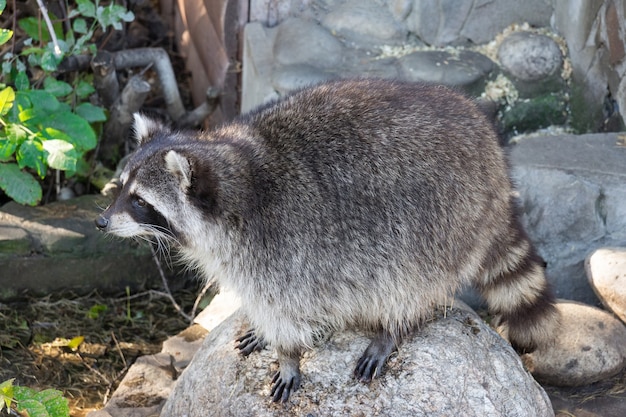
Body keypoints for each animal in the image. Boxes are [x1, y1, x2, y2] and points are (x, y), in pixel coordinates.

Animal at [96, 77, 556, 400]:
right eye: (121, 187)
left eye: (139, 201)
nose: (101, 223)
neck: (235, 176)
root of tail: (493, 159)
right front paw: (266, 332)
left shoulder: (281, 245)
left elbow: (286, 309)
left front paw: (287, 357)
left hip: (440, 217)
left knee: (408, 280)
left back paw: (392, 327)